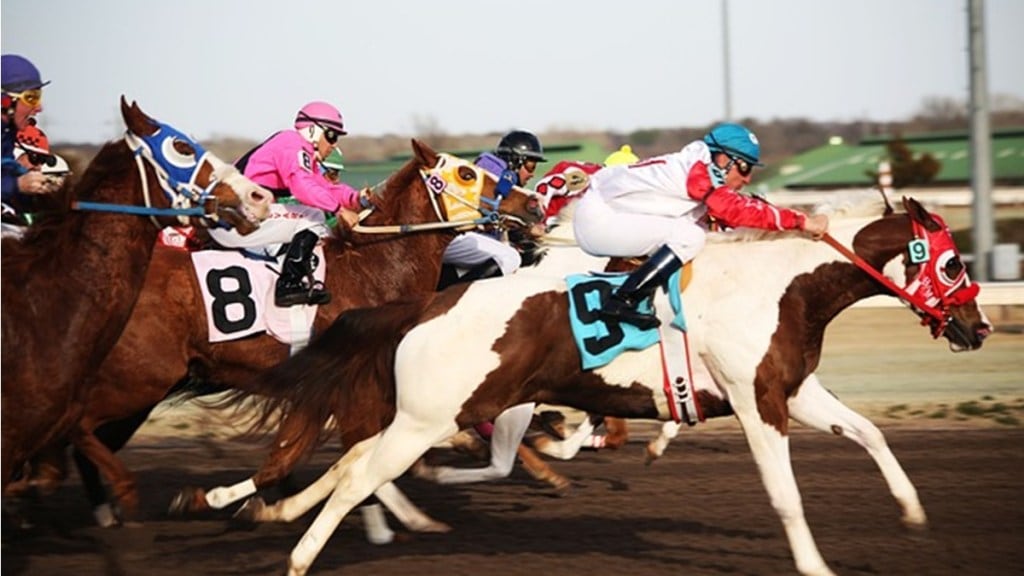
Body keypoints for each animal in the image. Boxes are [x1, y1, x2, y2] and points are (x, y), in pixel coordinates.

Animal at [49, 139, 544, 520]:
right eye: (467, 172)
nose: (534, 203)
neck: (372, 268)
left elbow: (302, 458)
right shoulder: (334, 387)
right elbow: (302, 458)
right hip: (142, 378)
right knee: (76, 424)